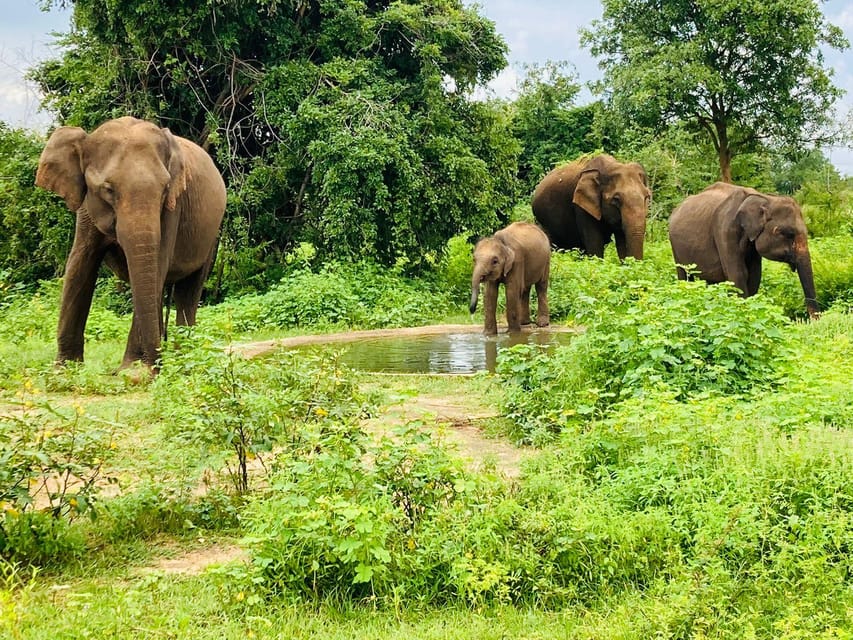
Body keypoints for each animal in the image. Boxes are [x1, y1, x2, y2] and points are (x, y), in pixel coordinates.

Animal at [35, 116, 226, 370]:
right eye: (107, 189)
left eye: (165, 189)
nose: (156, 367)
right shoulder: (87, 207)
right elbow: (80, 264)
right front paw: (64, 370)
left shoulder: (173, 208)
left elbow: (157, 266)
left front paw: (133, 372)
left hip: (211, 236)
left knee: (188, 291)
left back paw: (184, 358)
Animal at [664, 182, 820, 318]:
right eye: (786, 233)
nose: (813, 320)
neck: (764, 198)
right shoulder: (725, 231)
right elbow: (738, 274)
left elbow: (754, 275)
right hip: (675, 246)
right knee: (684, 275)